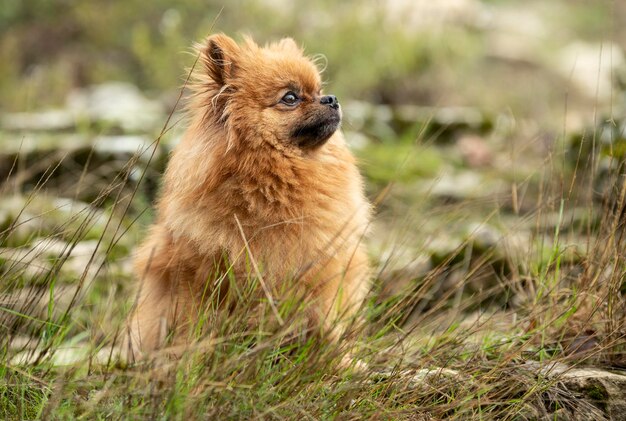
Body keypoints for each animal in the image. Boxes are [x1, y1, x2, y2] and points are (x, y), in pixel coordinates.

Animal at [127, 33, 370, 354]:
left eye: (318, 90)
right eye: (290, 98)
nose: (331, 98)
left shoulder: (321, 274)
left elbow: (326, 329)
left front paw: (340, 361)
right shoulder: (198, 277)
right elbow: (194, 330)